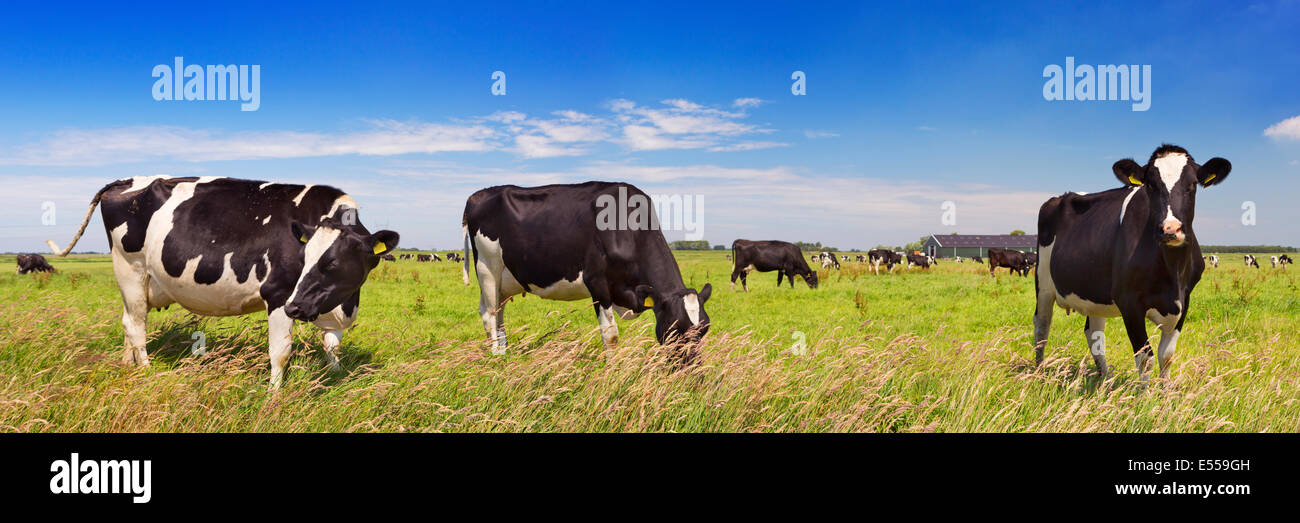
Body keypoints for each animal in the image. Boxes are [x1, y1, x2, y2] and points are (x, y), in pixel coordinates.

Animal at [45, 175, 397, 387]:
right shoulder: (278, 295)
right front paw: (274, 396)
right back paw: (145, 370)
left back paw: (127, 366)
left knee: (129, 320)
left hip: (136, 283)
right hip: (130, 269)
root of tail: (124, 180)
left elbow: (333, 348)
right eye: (303, 257)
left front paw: (334, 378)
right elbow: (280, 352)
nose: (296, 308)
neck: (344, 304)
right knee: (136, 325)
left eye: (332, 262)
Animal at [465, 182, 717, 353]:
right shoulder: (598, 284)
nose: (693, 373)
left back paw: (505, 352)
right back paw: (497, 358)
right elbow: (611, 336)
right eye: (674, 330)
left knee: (498, 315)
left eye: (704, 329)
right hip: (487, 268)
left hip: (503, 281)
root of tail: (478, 195)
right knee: (489, 314)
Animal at [1029, 145, 1232, 382]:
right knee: (1042, 326)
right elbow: (1145, 358)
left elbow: (1167, 355)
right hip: (1043, 283)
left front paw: (1166, 390)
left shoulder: (1185, 298)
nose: (1170, 229)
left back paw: (1106, 380)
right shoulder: (1129, 303)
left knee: (1093, 333)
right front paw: (1146, 393)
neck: (1172, 271)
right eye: (1151, 185)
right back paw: (1039, 372)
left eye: (1192, 185)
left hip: (1094, 293)